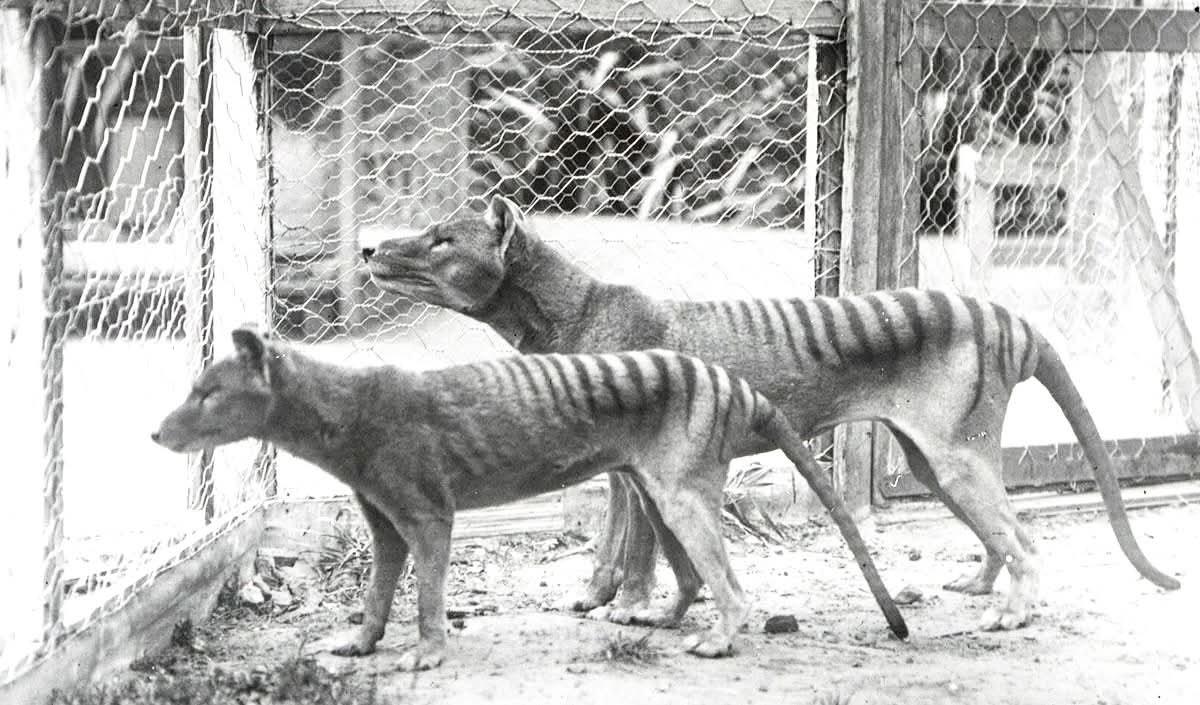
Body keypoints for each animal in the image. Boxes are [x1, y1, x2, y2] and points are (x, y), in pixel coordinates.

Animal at [152, 327, 907, 671]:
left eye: (208, 393)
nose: (155, 431)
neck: (348, 409)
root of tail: (733, 382)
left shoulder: (428, 513)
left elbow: (426, 596)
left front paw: (427, 652)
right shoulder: (384, 522)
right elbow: (376, 593)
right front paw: (361, 642)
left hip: (681, 494)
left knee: (732, 585)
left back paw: (720, 638)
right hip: (656, 491)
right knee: (693, 576)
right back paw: (661, 618)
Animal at [361, 196, 1181, 633]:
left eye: (441, 239)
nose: (369, 247)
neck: (577, 309)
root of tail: (1008, 318)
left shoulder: (637, 464)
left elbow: (635, 547)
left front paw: (628, 607)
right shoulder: (621, 466)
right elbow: (611, 543)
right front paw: (596, 596)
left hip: (955, 457)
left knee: (1026, 537)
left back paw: (1013, 610)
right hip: (931, 459)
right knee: (1004, 529)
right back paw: (987, 588)